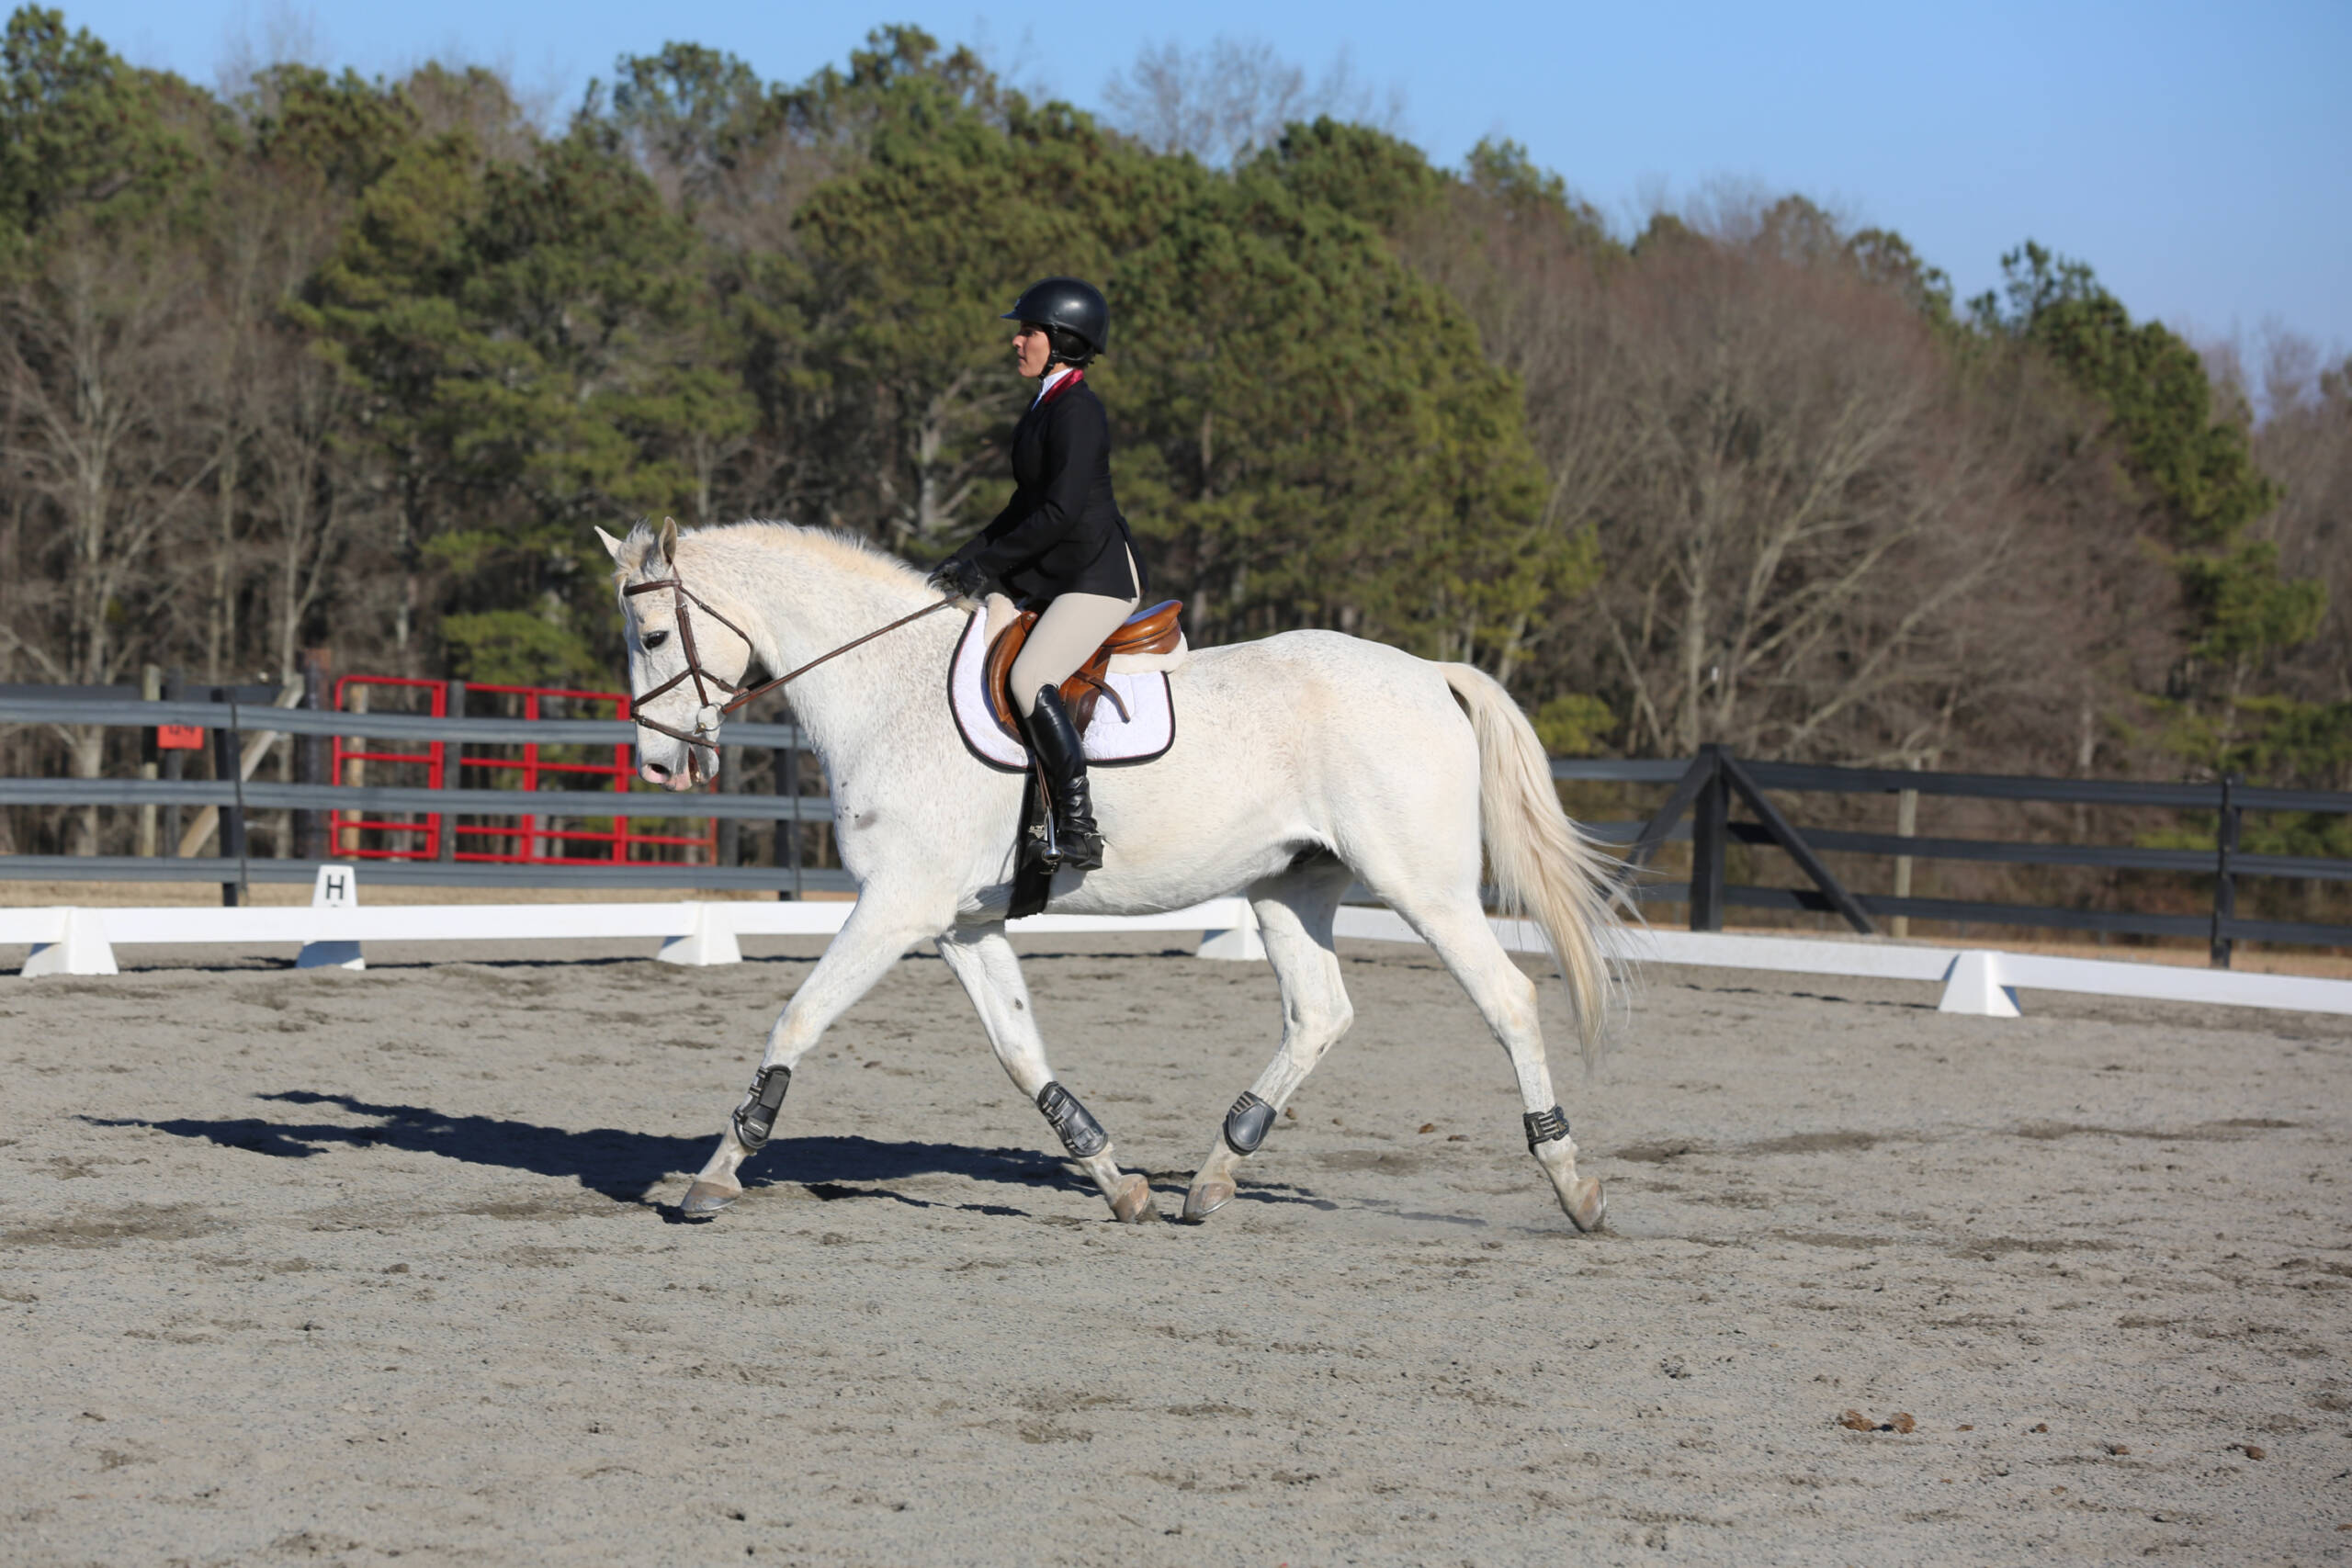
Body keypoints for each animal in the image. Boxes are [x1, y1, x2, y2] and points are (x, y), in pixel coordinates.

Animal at [597, 522, 1618, 1232]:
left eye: (651, 635)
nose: (658, 764)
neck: (887, 688)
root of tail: (1430, 672)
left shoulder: (897, 906)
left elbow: (797, 1019)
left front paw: (714, 1174)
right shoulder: (959, 924)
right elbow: (1020, 1052)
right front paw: (1115, 1180)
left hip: (1421, 886)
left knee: (1508, 999)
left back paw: (1574, 1187)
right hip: (1290, 887)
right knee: (1319, 1013)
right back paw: (1213, 1174)